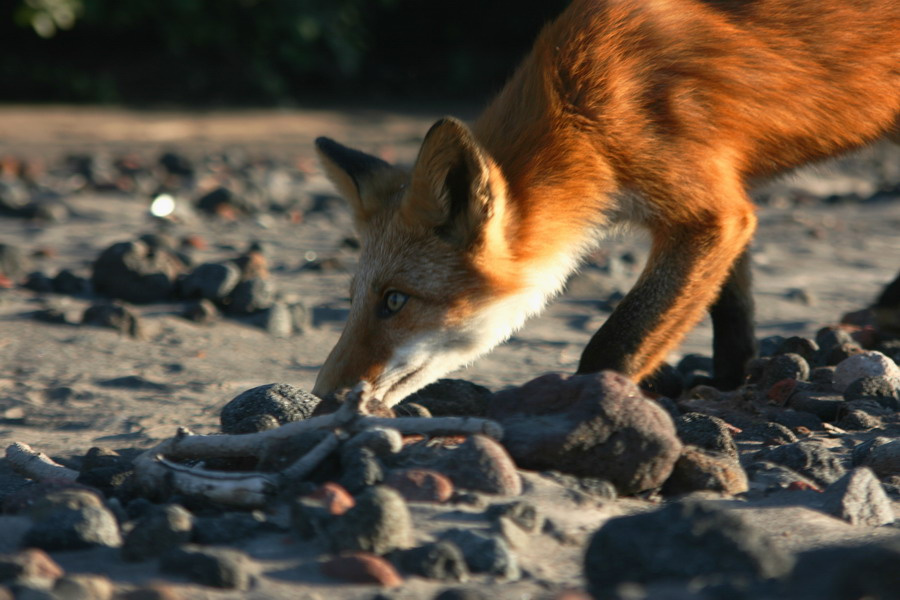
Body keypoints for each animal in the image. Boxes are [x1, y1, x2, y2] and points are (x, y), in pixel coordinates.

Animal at [312, 0, 900, 407]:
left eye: (394, 300)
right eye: (352, 299)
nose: (321, 399)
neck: (580, 108)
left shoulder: (709, 211)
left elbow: (614, 344)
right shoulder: (725, 200)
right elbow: (733, 308)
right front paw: (730, 379)